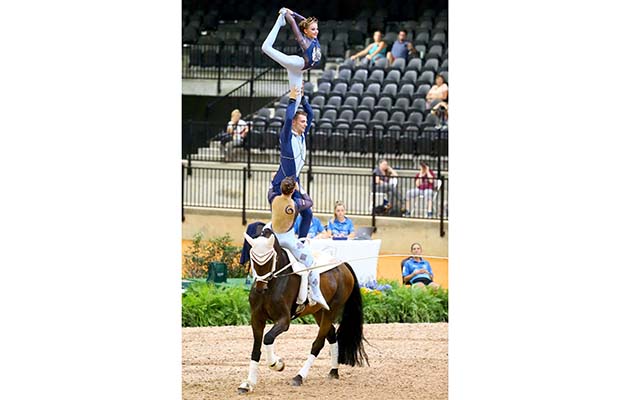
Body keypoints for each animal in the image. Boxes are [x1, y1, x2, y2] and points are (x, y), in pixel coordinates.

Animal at [238, 228, 370, 394]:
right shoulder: (256, 319)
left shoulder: (284, 321)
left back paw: (299, 377)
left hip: (331, 310)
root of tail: (343, 265)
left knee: (318, 343)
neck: (274, 283)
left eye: (271, 259)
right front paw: (248, 383)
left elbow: (268, 338)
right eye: (253, 259)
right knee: (331, 335)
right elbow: (256, 349)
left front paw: (278, 364)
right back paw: (333, 372)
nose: (261, 288)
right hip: (318, 311)